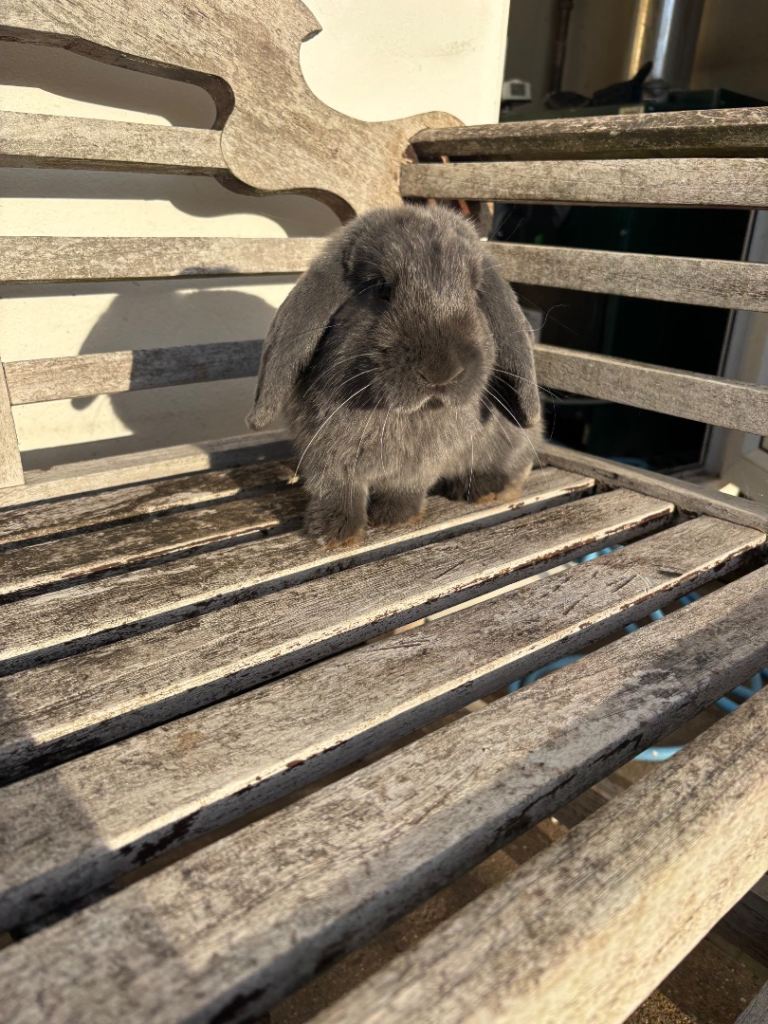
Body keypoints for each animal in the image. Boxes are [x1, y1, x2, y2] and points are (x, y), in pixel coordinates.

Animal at [246, 204, 541, 546]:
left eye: (475, 292)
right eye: (380, 288)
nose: (441, 371)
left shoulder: (422, 462)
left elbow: (404, 485)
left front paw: (393, 517)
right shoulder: (325, 453)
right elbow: (337, 488)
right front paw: (334, 533)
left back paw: (481, 489)